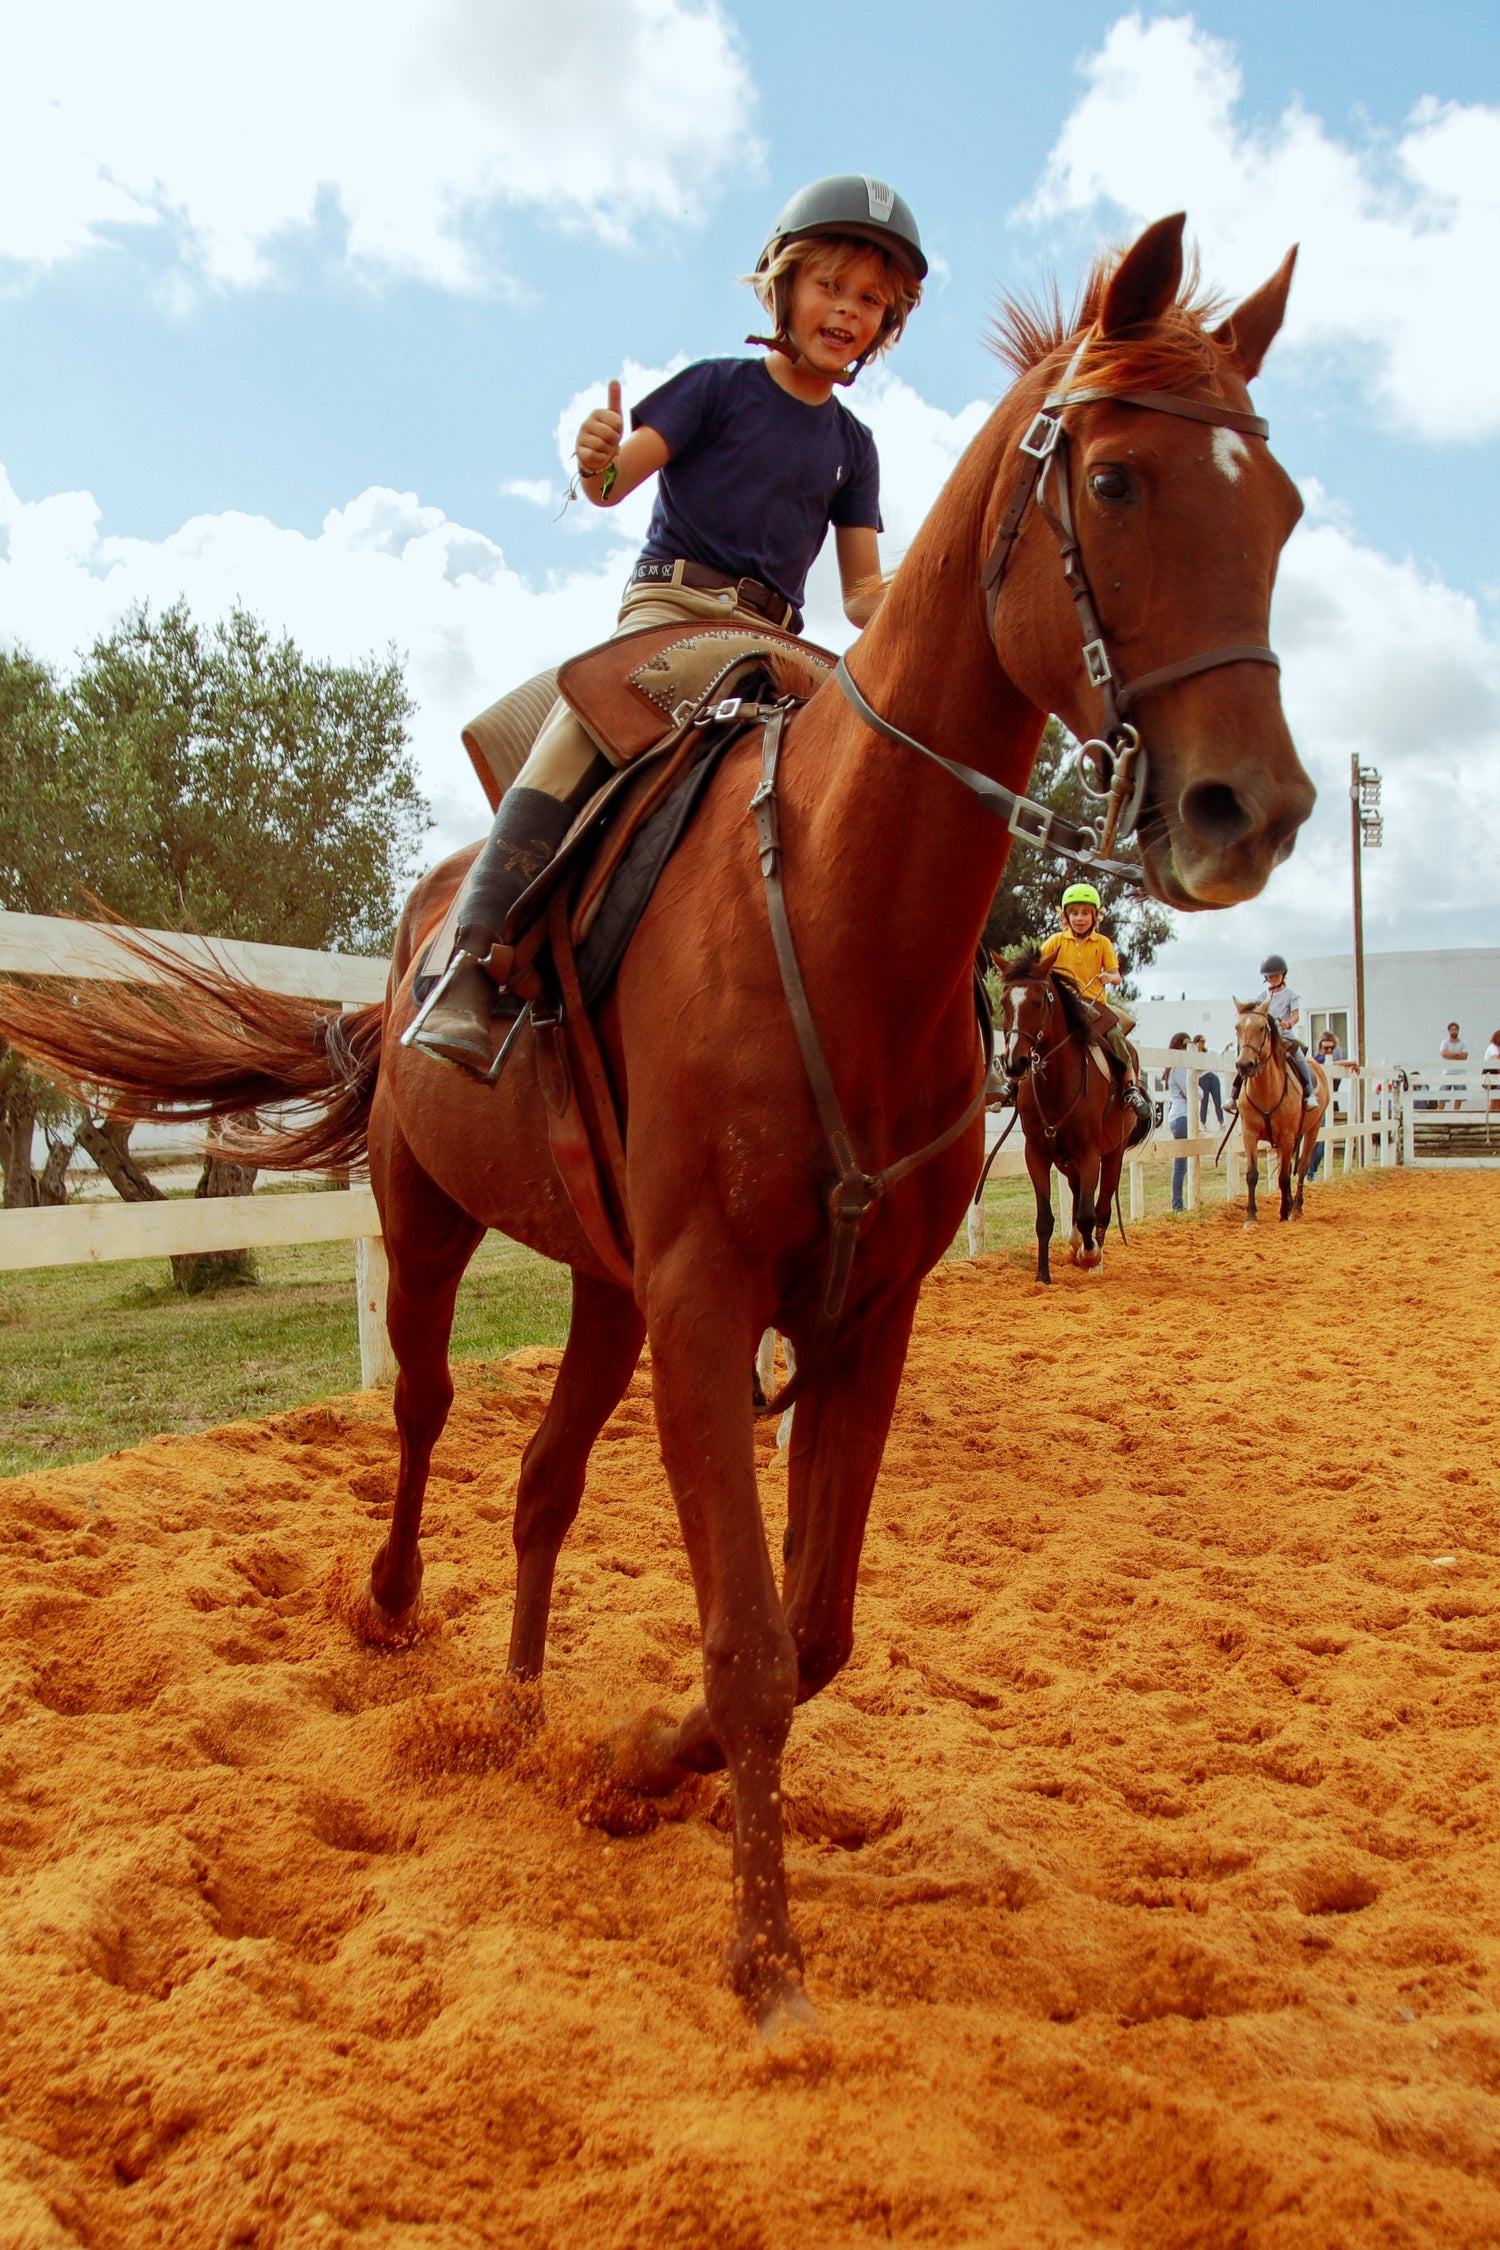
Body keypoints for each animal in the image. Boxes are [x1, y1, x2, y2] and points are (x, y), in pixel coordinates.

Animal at [998, 949, 1137, 1287]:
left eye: (1039, 1001)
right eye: (1004, 1002)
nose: (1016, 1062)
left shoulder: (1089, 1154)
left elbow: (1088, 1214)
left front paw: (1090, 1254)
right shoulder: (1036, 1153)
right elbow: (1045, 1218)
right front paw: (1043, 1275)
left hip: (1112, 1154)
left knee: (1101, 1208)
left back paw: (1094, 1257)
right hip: (1067, 1162)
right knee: (1077, 1197)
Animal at [1241, 1003, 1331, 1233]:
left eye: (1262, 1028)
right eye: (1237, 1027)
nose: (1244, 1065)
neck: (1266, 1091)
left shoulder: (1288, 1136)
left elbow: (1284, 1176)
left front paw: (1284, 1212)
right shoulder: (1250, 1134)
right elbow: (1252, 1175)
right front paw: (1251, 1217)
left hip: (1312, 1130)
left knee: (1302, 1167)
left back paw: (1296, 1209)